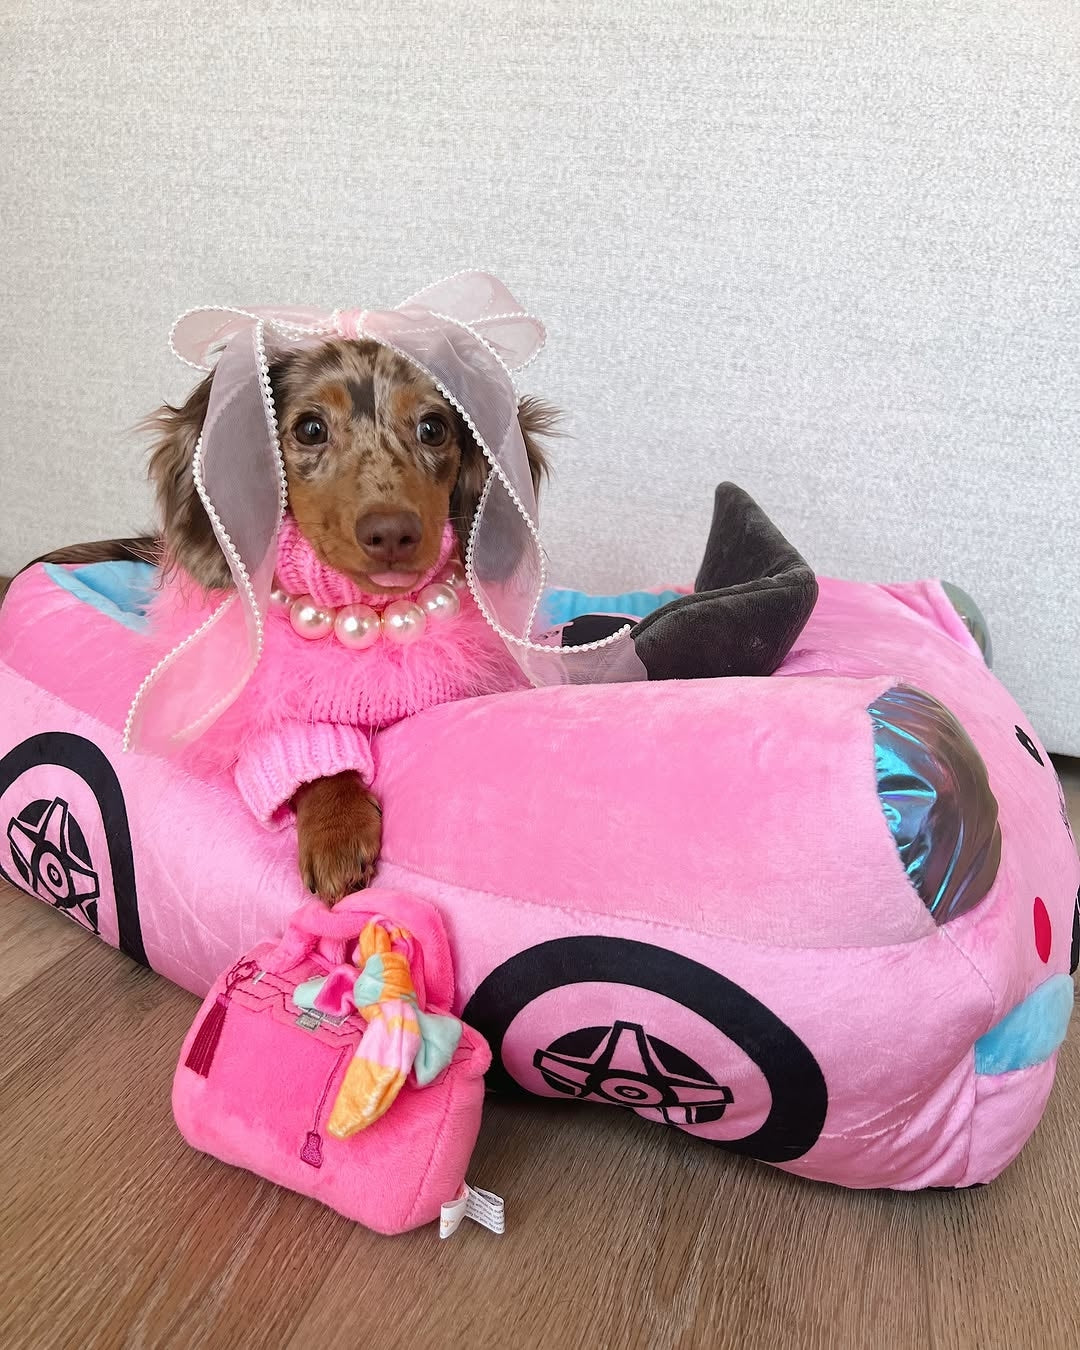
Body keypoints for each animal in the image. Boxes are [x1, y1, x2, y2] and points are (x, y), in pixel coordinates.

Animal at [24, 337, 556, 902]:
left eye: (433, 428)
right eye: (311, 428)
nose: (393, 534)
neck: (366, 617)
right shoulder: (272, 715)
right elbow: (314, 762)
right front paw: (337, 828)